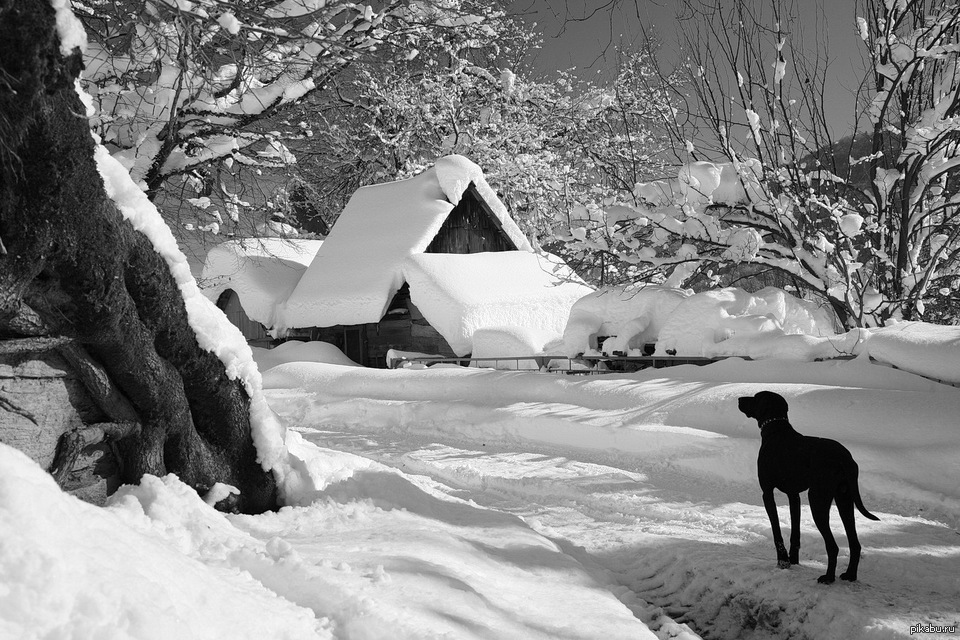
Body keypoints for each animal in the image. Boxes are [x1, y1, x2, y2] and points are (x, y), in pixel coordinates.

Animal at [740, 390, 880, 584]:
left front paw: (783, 562)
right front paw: (793, 560)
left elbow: (777, 532)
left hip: (817, 499)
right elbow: (795, 533)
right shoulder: (794, 495)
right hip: (844, 499)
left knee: (833, 546)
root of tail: (844, 458)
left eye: (755, 397)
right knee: (855, 544)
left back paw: (828, 577)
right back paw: (850, 575)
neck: (776, 429)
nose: (739, 399)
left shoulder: (767, 493)